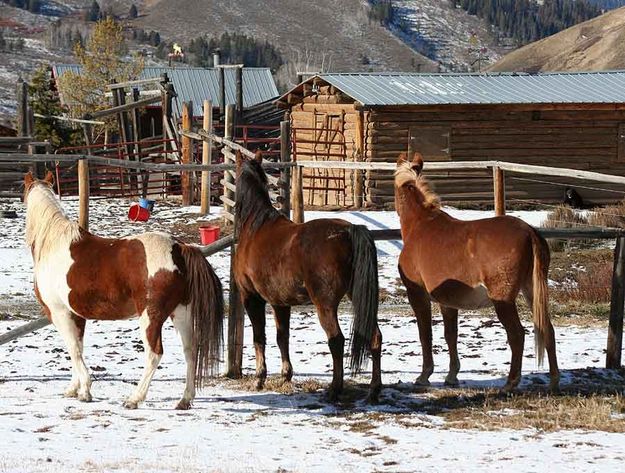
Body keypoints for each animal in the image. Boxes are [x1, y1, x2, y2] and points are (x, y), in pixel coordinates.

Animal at [24, 171, 224, 408]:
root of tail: (178, 248)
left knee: (154, 354)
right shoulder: (76, 315)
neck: (54, 244)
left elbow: (72, 349)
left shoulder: (59, 312)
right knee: (191, 351)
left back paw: (134, 399)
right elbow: (78, 348)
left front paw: (85, 391)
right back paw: (184, 400)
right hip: (181, 312)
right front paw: (75, 388)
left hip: (150, 317)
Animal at [233, 152, 382, 402]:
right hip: (358, 298)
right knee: (375, 337)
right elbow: (282, 336)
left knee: (336, 341)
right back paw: (373, 391)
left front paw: (259, 378)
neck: (256, 226)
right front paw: (285, 375)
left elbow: (259, 337)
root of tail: (350, 230)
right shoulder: (280, 303)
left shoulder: (251, 297)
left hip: (325, 305)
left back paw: (334, 389)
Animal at [392, 152, 560, 390]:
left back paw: (510, 383)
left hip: (503, 300)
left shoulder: (417, 295)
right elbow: (450, 335)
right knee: (547, 329)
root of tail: (529, 232)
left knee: (517, 335)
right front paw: (452, 375)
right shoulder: (447, 302)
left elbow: (426, 335)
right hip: (532, 291)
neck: (421, 224)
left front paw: (424, 376)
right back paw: (554, 381)